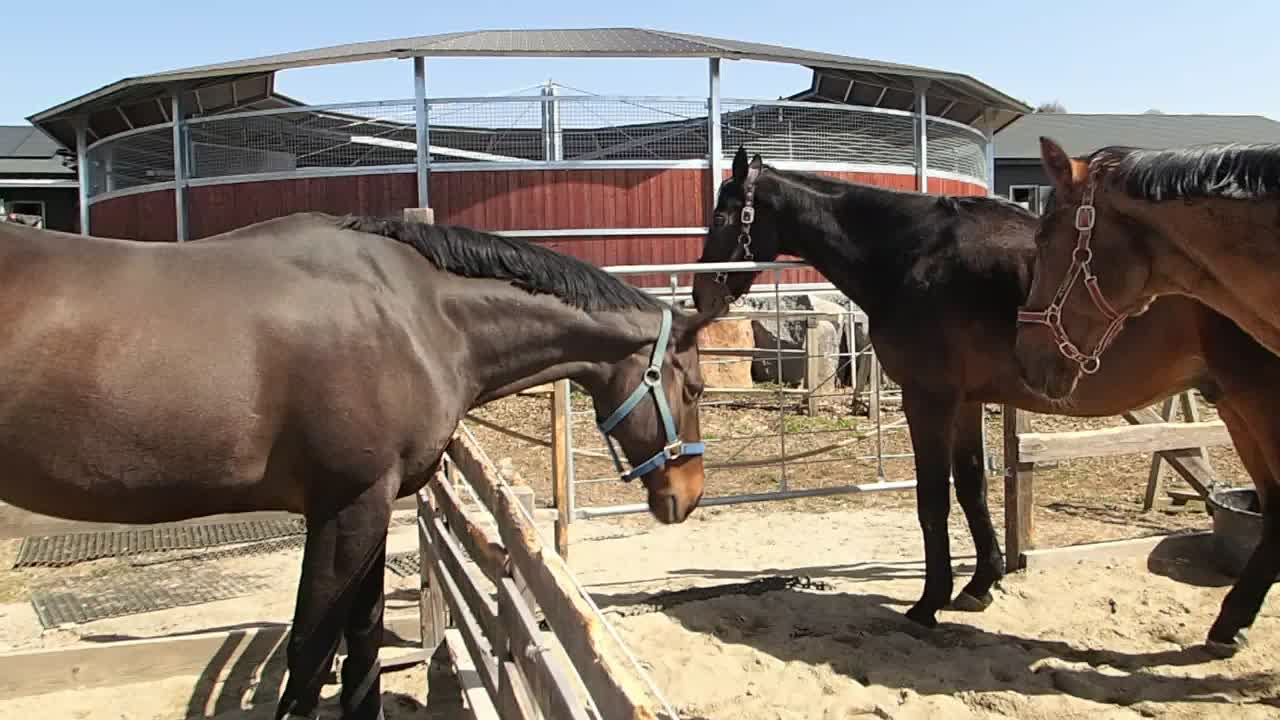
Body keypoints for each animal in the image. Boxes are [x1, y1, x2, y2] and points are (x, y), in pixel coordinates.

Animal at [0, 213, 721, 717]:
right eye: (694, 389)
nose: (688, 493)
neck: (418, 316)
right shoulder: (347, 508)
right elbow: (311, 655)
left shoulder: (370, 509)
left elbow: (363, 644)